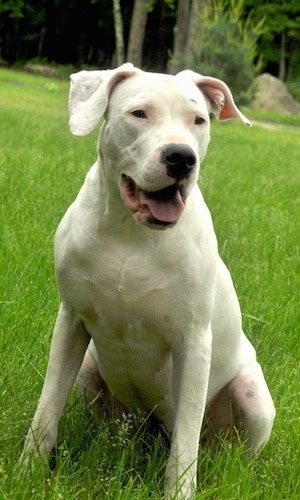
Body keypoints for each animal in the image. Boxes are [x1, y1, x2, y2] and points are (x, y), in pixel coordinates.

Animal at [20, 64, 274, 498]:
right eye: (139, 113)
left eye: (198, 120)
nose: (181, 157)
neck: (130, 233)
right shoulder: (71, 322)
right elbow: (48, 405)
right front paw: (28, 471)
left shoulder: (193, 343)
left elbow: (186, 440)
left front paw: (179, 491)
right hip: (90, 370)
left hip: (253, 396)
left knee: (221, 449)